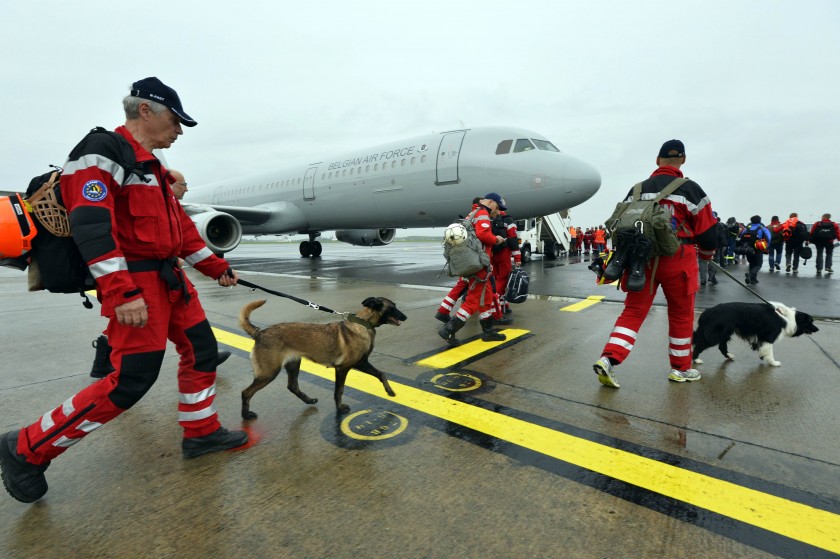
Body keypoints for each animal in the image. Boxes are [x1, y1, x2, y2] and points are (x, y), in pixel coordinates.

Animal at [240, 300, 406, 418]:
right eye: (393, 307)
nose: (405, 317)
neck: (364, 323)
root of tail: (259, 333)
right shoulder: (342, 369)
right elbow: (339, 391)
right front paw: (340, 409)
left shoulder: (362, 363)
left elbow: (381, 374)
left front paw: (389, 391)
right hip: (269, 373)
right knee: (246, 392)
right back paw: (246, 415)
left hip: (293, 365)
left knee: (292, 386)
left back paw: (308, 400)